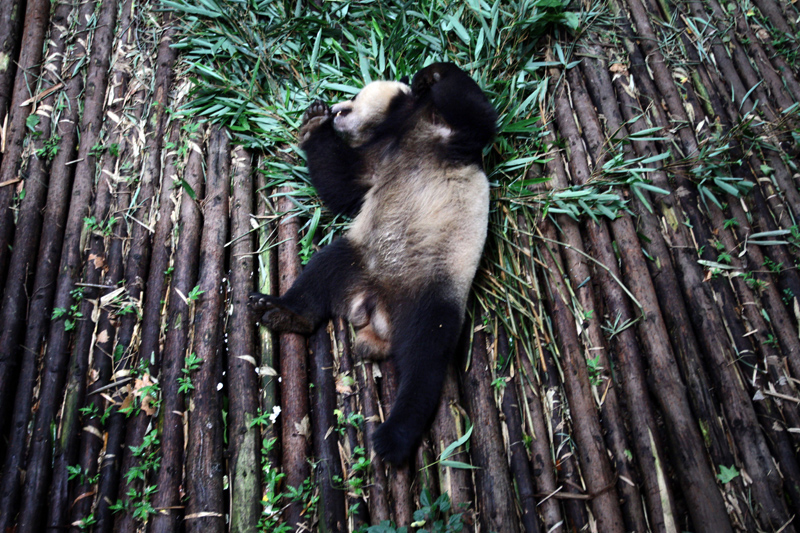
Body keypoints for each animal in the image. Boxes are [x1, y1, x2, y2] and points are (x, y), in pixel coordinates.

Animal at [250, 62, 497, 464]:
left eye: (352, 102)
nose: (336, 109)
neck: (413, 122)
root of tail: (374, 310)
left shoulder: (455, 139)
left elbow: (476, 113)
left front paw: (432, 75)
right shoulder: (380, 155)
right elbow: (343, 183)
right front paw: (313, 120)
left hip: (433, 294)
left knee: (425, 359)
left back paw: (393, 437)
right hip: (358, 258)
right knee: (322, 272)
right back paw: (282, 311)